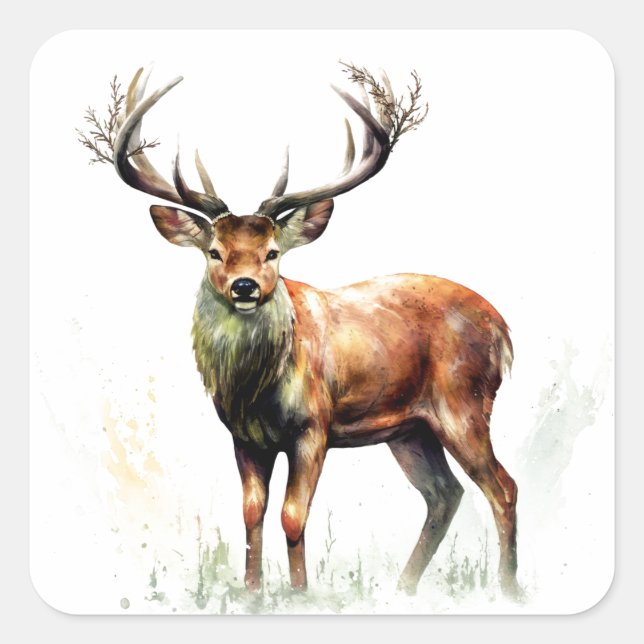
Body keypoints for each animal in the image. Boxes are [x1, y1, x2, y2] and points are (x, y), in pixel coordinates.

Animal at [78, 63, 520, 600]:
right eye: (214, 252)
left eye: (273, 252)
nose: (245, 286)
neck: (254, 389)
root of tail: (503, 329)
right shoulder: (244, 436)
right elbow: (252, 513)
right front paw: (252, 593)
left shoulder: (314, 425)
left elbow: (292, 515)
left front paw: (300, 593)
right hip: (410, 428)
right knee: (444, 493)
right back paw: (405, 587)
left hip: (464, 402)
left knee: (502, 487)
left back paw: (508, 588)